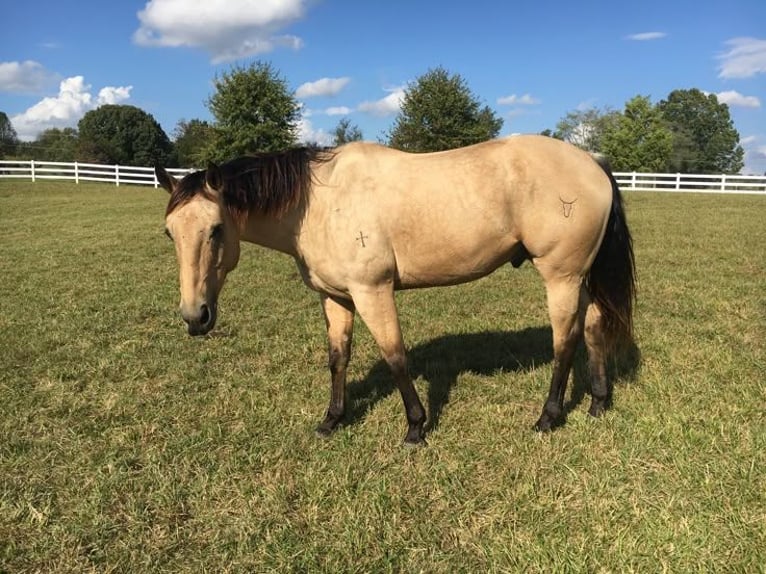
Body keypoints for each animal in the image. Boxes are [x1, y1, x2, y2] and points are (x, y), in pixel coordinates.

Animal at [155, 135, 636, 446]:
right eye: (169, 233)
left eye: (216, 229)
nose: (195, 317)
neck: (319, 204)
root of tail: (591, 161)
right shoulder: (336, 297)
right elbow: (338, 358)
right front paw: (332, 420)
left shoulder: (373, 292)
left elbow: (395, 356)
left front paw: (415, 427)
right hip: (579, 279)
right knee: (593, 327)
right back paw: (597, 403)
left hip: (561, 277)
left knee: (564, 341)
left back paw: (548, 418)